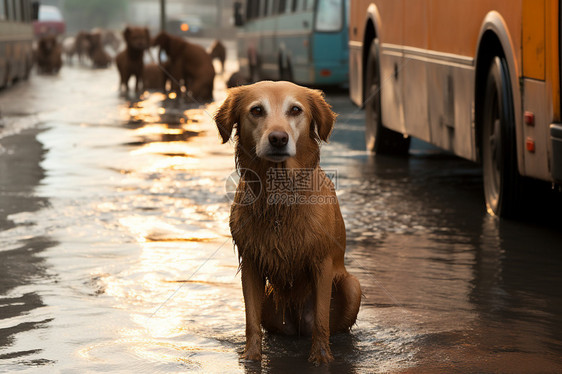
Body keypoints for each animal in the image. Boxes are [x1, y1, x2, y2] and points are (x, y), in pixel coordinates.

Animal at [212, 81, 360, 366]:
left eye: (295, 110)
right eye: (257, 110)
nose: (278, 138)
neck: (279, 197)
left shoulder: (321, 261)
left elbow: (322, 320)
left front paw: (321, 357)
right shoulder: (251, 262)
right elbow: (251, 321)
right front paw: (251, 357)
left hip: (352, 287)